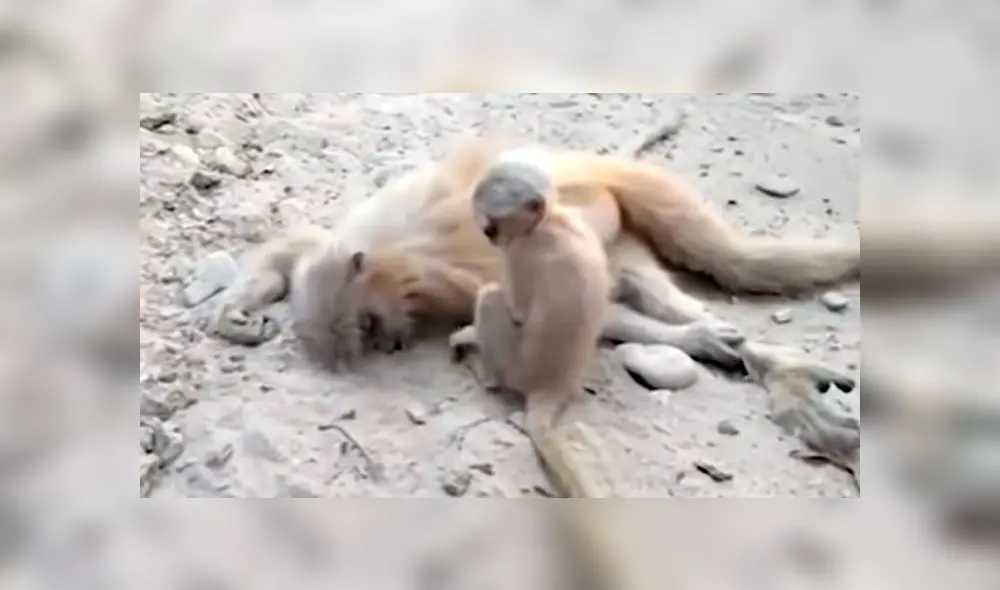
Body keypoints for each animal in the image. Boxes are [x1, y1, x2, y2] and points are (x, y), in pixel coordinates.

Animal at [447, 147, 616, 498]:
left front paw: (467, 335)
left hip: (515, 364)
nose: (491, 237)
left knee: (490, 297)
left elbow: (515, 311)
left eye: (493, 227)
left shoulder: (522, 250)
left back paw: (487, 374)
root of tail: (552, 386)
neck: (551, 220)